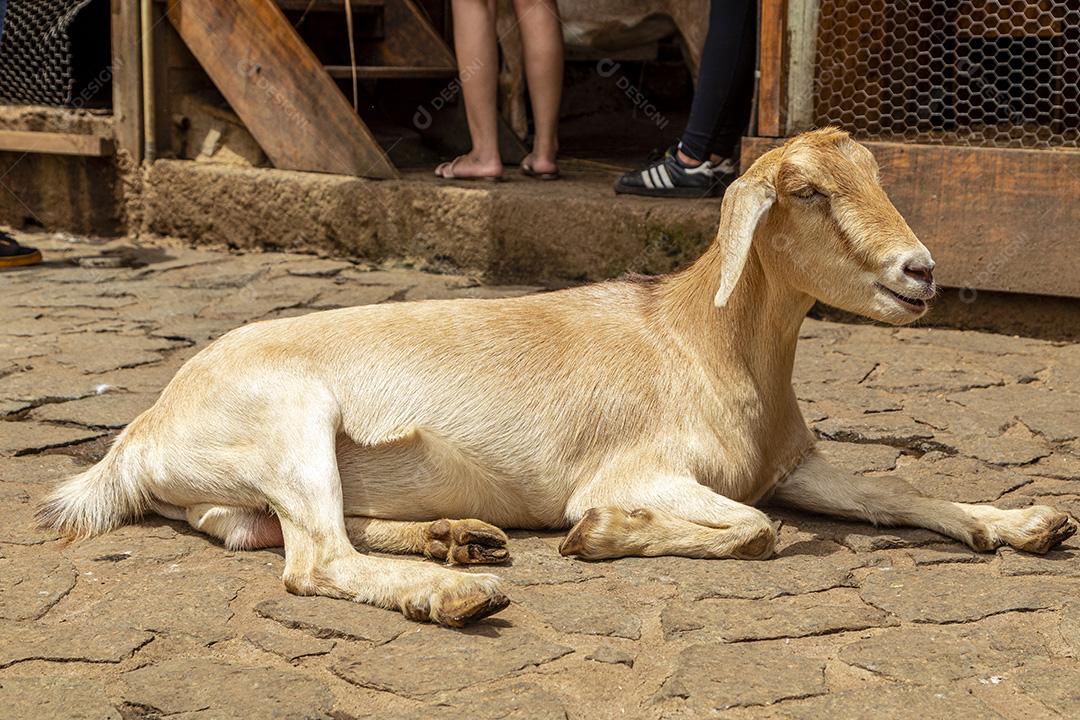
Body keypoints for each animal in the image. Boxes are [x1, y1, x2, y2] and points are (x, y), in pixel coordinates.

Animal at [37, 128, 1076, 626]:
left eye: (876, 175)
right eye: (810, 192)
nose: (920, 272)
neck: (698, 339)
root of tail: (139, 438)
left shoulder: (796, 465)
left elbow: (897, 494)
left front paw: (1025, 523)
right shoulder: (645, 469)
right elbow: (753, 530)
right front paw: (600, 537)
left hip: (246, 489)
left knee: (293, 535)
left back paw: (458, 541)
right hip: (291, 420)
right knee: (314, 561)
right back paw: (454, 594)